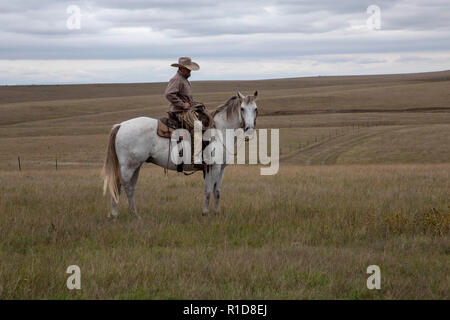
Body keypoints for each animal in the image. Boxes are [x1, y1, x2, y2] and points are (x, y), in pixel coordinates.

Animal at [100, 91, 258, 219]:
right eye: (242, 109)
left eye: (255, 109)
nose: (249, 129)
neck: (220, 131)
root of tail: (120, 125)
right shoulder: (214, 166)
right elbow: (208, 190)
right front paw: (206, 213)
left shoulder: (220, 168)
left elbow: (216, 191)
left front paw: (217, 213)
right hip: (128, 166)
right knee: (120, 186)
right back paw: (115, 214)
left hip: (136, 166)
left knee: (130, 188)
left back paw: (135, 215)